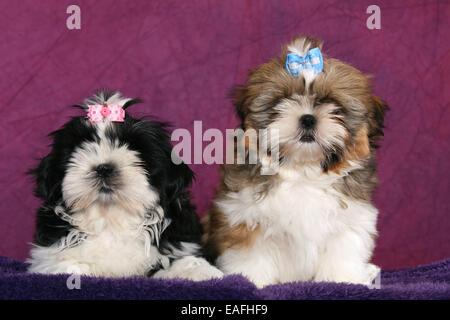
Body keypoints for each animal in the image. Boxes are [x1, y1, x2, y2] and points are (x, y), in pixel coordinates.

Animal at [26, 90, 221, 280]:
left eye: (134, 148)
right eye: (79, 148)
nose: (104, 168)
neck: (112, 221)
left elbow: (181, 261)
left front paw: (203, 272)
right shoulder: (50, 254)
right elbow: (66, 265)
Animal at [200, 35, 386, 288]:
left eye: (334, 105)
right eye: (281, 102)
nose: (308, 118)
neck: (303, 172)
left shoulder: (349, 223)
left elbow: (342, 254)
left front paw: (343, 281)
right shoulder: (246, 218)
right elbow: (252, 256)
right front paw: (251, 281)